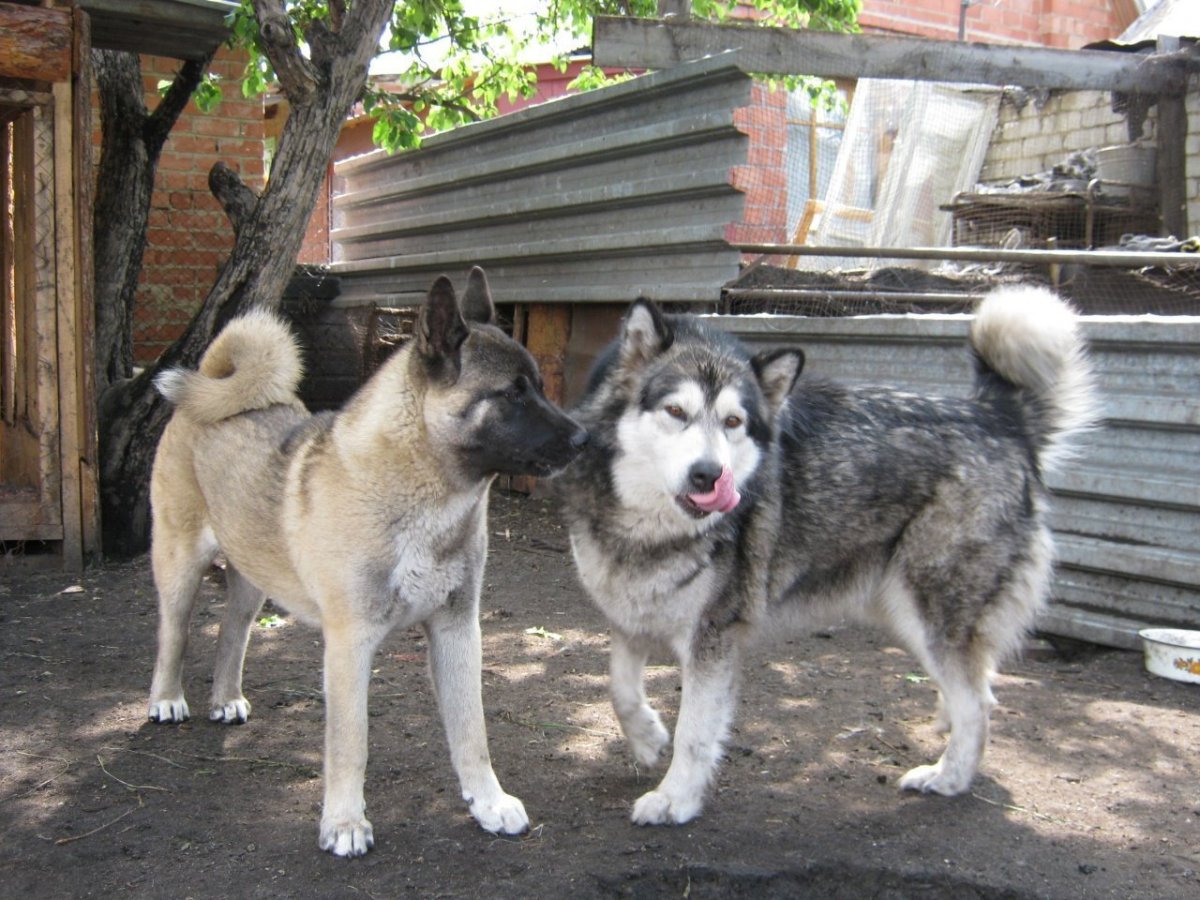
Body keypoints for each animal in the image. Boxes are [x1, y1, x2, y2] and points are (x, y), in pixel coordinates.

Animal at [146, 267, 587, 856]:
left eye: (536, 384)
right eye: (512, 393)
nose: (584, 438)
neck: (418, 490)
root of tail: (211, 392)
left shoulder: (457, 631)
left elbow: (472, 734)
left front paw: (489, 804)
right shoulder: (349, 644)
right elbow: (349, 745)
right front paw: (344, 822)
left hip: (252, 582)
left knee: (232, 633)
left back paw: (227, 698)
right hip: (179, 567)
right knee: (173, 635)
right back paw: (167, 699)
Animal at [552, 285, 1096, 826]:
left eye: (733, 422)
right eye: (675, 412)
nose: (709, 475)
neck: (651, 528)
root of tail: (996, 415)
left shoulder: (713, 636)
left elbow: (695, 733)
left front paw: (675, 799)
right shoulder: (628, 612)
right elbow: (620, 689)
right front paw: (646, 739)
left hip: (927, 612)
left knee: (979, 703)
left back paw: (948, 777)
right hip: (904, 613)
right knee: (978, 685)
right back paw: (945, 728)